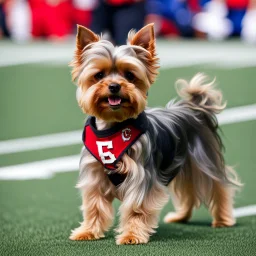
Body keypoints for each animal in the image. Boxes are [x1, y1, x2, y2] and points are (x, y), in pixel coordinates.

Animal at [69, 23, 241, 244]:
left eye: (130, 75)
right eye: (99, 75)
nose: (114, 86)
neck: (112, 125)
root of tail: (193, 108)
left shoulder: (141, 174)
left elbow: (136, 207)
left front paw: (132, 235)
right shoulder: (94, 175)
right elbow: (94, 206)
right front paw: (88, 231)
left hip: (203, 162)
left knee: (219, 186)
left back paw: (223, 219)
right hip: (183, 167)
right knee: (188, 193)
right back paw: (180, 216)